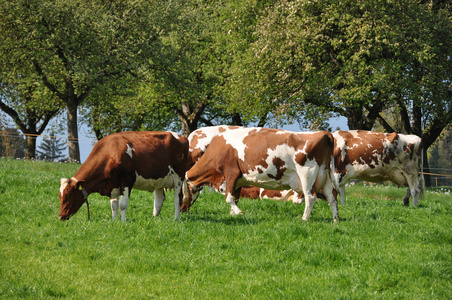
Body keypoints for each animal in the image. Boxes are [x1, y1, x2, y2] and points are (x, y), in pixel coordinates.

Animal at [58, 131, 189, 220]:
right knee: (159, 200)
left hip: (178, 178)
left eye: (68, 195)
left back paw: (176, 218)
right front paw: (114, 220)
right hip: (159, 180)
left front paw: (123, 221)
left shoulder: (126, 181)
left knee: (178, 199)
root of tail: (181, 136)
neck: (110, 153)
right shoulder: (112, 184)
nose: (60, 216)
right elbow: (114, 205)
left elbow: (122, 204)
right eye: (60, 196)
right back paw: (155, 218)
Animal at [183, 127, 340, 221]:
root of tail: (324, 133)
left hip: (307, 175)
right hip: (325, 176)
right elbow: (235, 197)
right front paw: (233, 214)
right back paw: (336, 220)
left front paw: (238, 212)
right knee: (332, 198)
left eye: (184, 192)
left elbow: (229, 197)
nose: (183, 210)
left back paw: (304, 219)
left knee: (310, 197)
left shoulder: (231, 173)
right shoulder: (238, 180)